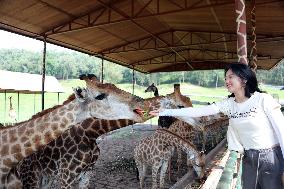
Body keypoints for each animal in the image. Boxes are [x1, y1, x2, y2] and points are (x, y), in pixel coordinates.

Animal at [0, 74, 146, 188]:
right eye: (100, 96)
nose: (141, 102)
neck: (90, 133)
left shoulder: (87, 173)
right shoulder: (66, 175)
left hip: (44, 177)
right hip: (30, 176)